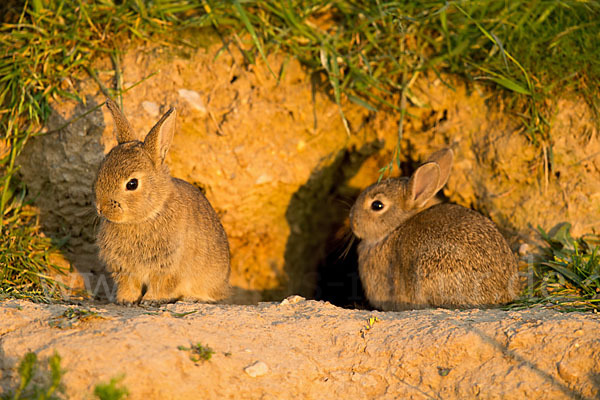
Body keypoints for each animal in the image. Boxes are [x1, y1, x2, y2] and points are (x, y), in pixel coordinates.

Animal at [95, 99, 231, 304]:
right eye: (101, 170)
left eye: (132, 184)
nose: (100, 207)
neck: (148, 215)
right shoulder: (124, 269)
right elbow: (129, 284)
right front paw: (125, 300)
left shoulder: (168, 266)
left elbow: (161, 285)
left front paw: (151, 300)